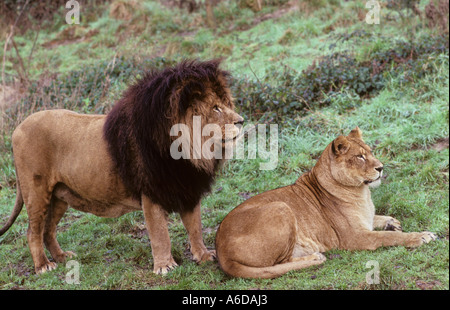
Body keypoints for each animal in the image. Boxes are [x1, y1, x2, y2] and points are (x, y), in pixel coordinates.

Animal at [0, 59, 244, 274]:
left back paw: (61, 257)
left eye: (227, 104)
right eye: (216, 108)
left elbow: (195, 227)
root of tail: (18, 127)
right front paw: (165, 266)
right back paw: (43, 266)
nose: (242, 121)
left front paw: (203, 256)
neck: (190, 152)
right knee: (33, 231)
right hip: (37, 192)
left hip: (59, 195)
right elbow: (160, 234)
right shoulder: (151, 193)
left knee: (48, 230)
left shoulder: (187, 188)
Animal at [214, 127, 436, 280]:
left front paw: (392, 222)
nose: (381, 168)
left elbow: (377, 218)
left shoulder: (365, 219)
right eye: (360, 157)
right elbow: (387, 237)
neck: (362, 192)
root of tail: (221, 251)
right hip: (280, 207)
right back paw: (315, 258)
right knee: (278, 264)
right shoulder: (354, 238)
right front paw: (421, 236)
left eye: (371, 152)